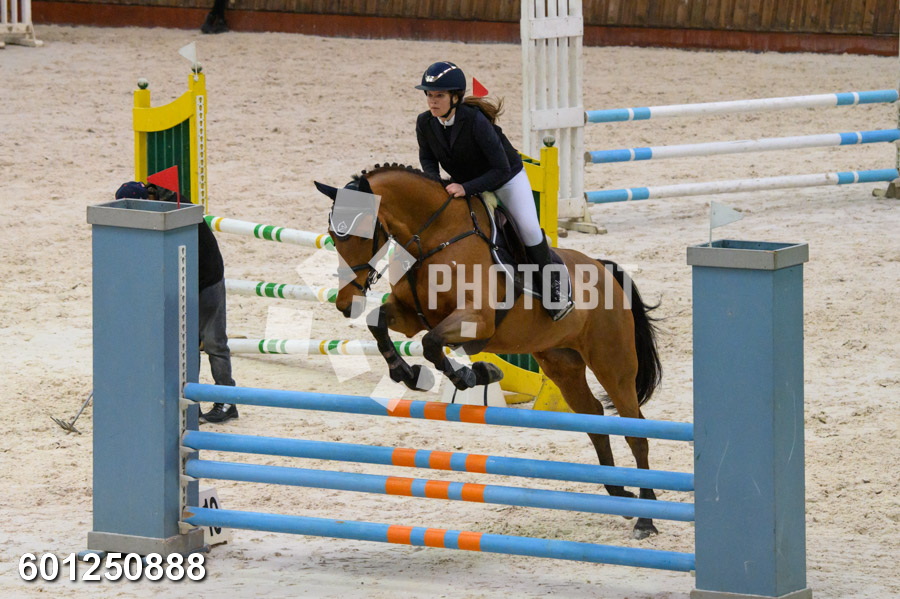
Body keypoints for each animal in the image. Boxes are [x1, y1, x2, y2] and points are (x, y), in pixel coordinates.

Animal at [314, 164, 663, 539]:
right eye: (333, 235)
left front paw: (475, 374)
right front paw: (406, 373)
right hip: (561, 365)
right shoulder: (410, 315)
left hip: (613, 364)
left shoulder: (476, 320)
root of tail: (605, 271)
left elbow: (431, 343)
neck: (434, 238)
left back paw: (645, 517)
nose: (345, 303)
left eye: (360, 232)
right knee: (595, 418)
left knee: (636, 430)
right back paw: (620, 493)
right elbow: (379, 323)